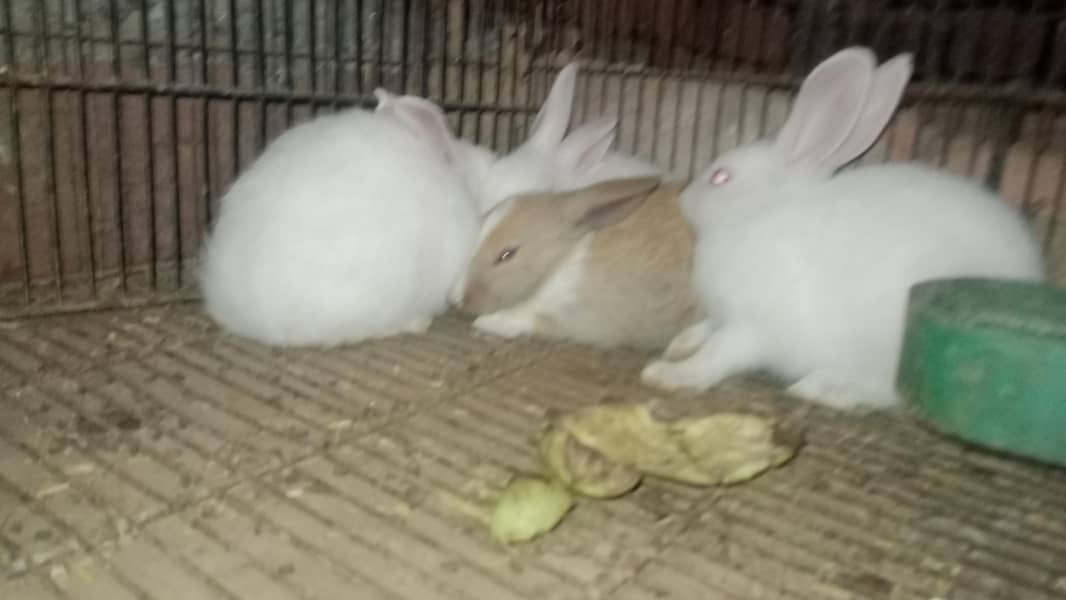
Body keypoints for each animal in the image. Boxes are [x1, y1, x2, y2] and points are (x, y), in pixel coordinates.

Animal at [450, 175, 705, 350]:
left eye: (507, 254)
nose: (458, 299)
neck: (561, 261)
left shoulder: (587, 318)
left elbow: (532, 318)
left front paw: (488, 322)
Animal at [639, 47, 1046, 410]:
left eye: (721, 177)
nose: (683, 198)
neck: (758, 214)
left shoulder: (753, 327)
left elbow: (718, 353)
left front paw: (669, 374)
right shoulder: (724, 315)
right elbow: (705, 329)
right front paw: (679, 343)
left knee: (889, 394)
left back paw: (819, 388)